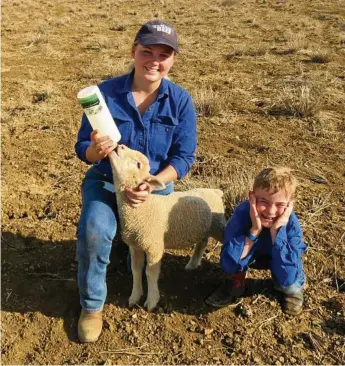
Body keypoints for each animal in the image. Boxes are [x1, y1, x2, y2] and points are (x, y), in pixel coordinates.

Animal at [108, 144, 226, 310]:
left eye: (138, 164)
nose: (120, 146)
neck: (142, 208)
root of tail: (215, 191)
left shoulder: (154, 246)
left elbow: (150, 273)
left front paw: (151, 301)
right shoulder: (135, 245)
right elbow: (136, 270)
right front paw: (134, 297)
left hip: (218, 224)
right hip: (204, 226)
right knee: (203, 242)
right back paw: (192, 263)